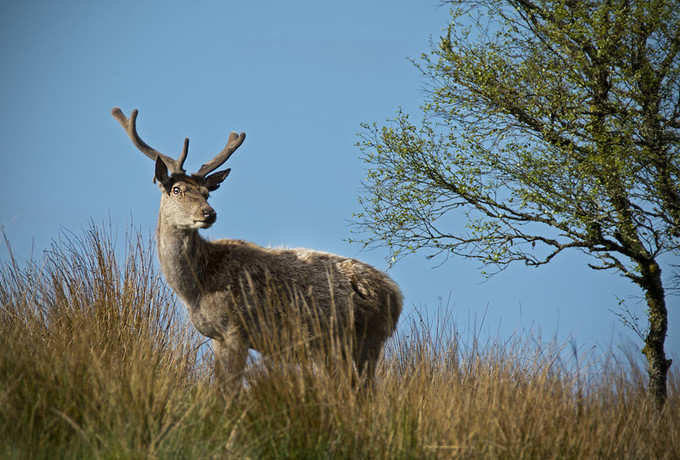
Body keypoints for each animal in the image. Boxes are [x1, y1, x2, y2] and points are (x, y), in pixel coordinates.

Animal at [109, 108, 402, 392]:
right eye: (177, 189)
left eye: (207, 192)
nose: (209, 213)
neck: (197, 287)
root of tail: (396, 294)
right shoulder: (217, 336)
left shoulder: (235, 329)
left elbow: (229, 391)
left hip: (367, 338)